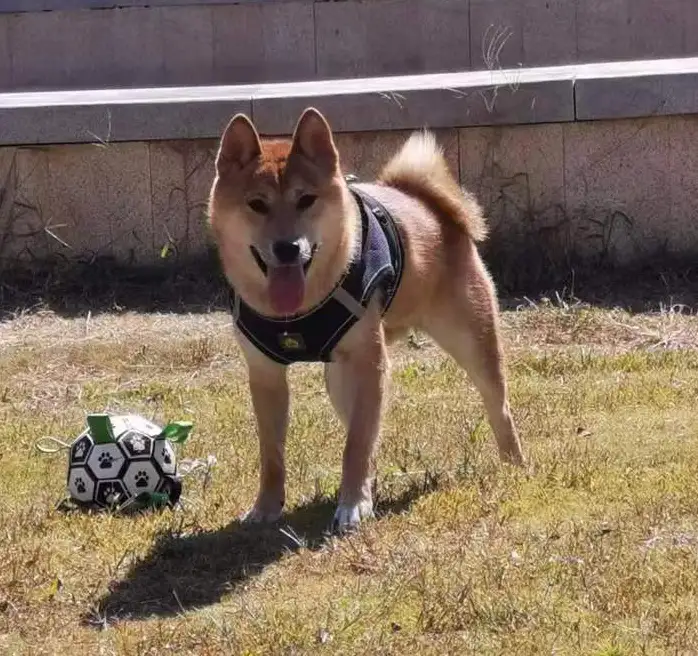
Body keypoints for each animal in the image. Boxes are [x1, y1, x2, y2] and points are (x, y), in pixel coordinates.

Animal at [207, 105, 520, 532]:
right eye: (257, 204)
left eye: (306, 199)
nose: (288, 248)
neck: (298, 310)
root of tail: (427, 202)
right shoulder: (265, 374)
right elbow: (272, 453)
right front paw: (267, 507)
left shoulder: (370, 363)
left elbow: (355, 444)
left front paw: (353, 505)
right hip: (340, 378)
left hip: (472, 342)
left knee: (498, 408)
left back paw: (514, 466)